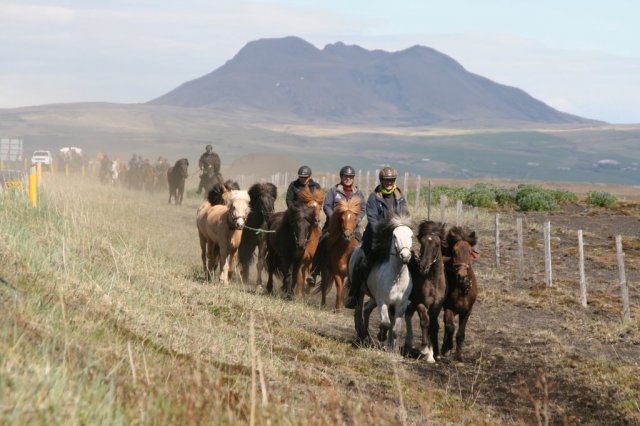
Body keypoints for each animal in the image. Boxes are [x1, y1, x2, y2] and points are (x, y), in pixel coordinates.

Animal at [348, 213, 412, 350]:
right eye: (394, 236)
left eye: (411, 235)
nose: (405, 256)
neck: (396, 277)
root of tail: (356, 250)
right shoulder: (383, 301)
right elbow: (386, 323)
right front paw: (381, 335)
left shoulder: (401, 304)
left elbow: (396, 329)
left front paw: (393, 349)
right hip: (360, 292)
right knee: (358, 311)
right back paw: (361, 336)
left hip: (374, 297)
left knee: (366, 309)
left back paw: (367, 337)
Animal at [404, 220, 444, 362]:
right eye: (422, 242)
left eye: (437, 244)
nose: (423, 266)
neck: (432, 281)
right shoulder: (421, 303)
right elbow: (425, 322)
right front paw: (425, 349)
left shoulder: (437, 306)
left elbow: (433, 325)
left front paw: (433, 355)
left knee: (407, 313)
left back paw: (408, 343)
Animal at [442, 225, 478, 362]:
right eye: (454, 252)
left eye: (469, 251)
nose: (462, 276)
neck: (462, 289)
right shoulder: (448, 308)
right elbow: (450, 328)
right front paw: (447, 347)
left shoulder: (467, 311)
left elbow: (461, 333)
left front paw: (459, 356)